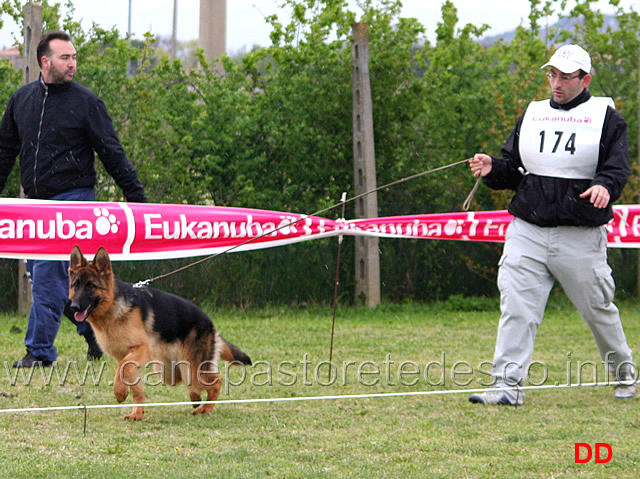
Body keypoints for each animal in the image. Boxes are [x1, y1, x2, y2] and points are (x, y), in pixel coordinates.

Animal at [68, 246, 252, 422]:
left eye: (91, 286)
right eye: (76, 285)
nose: (74, 307)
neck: (113, 307)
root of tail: (210, 324)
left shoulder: (140, 350)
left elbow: (122, 369)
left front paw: (119, 392)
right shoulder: (128, 358)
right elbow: (134, 386)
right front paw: (137, 414)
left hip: (190, 371)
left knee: (217, 382)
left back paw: (206, 409)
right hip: (170, 371)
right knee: (198, 387)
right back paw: (196, 401)